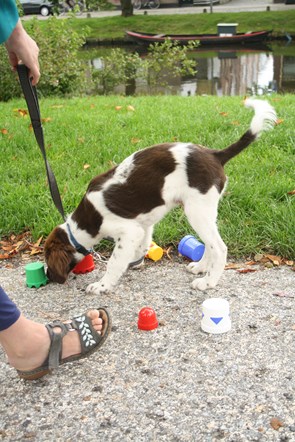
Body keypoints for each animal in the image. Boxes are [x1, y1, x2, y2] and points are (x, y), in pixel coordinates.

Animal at [44, 98, 278, 296]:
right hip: (202, 211)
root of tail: (215, 154)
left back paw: (208, 282)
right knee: (210, 244)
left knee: (219, 247)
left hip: (197, 210)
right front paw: (136, 262)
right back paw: (200, 267)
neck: (85, 221)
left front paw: (103, 285)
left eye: (46, 257)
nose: (48, 276)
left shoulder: (128, 230)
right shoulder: (143, 225)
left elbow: (115, 261)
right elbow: (142, 245)